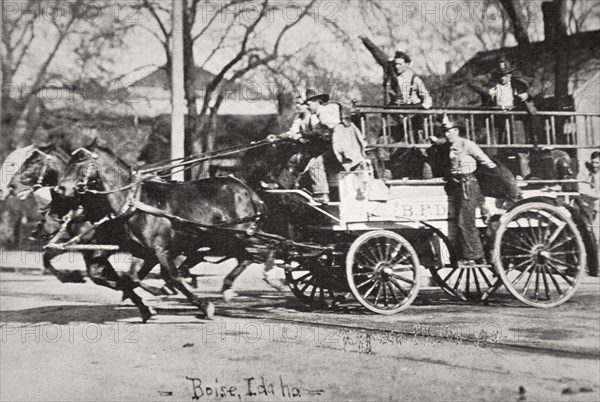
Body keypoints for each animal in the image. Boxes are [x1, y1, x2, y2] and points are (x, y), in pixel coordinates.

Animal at [55, 141, 266, 320]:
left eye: (80, 159)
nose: (61, 189)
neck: (135, 202)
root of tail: (246, 190)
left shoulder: (161, 248)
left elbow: (172, 277)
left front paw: (204, 306)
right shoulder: (143, 251)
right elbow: (131, 277)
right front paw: (145, 306)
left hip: (239, 234)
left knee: (257, 254)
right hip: (223, 238)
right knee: (247, 256)